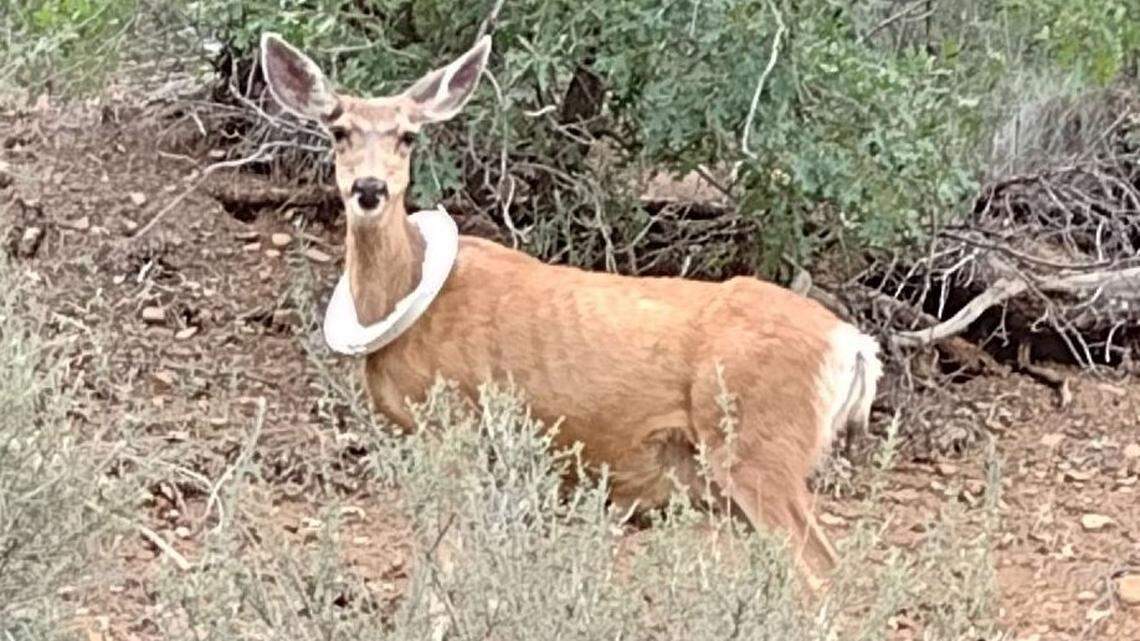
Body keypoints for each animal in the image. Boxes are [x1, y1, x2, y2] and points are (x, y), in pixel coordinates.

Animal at [260, 32, 882, 583]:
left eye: (408, 135)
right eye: (338, 129)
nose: (369, 188)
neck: (407, 300)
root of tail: (852, 344)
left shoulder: (452, 420)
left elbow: (445, 556)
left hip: (758, 446)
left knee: (821, 567)